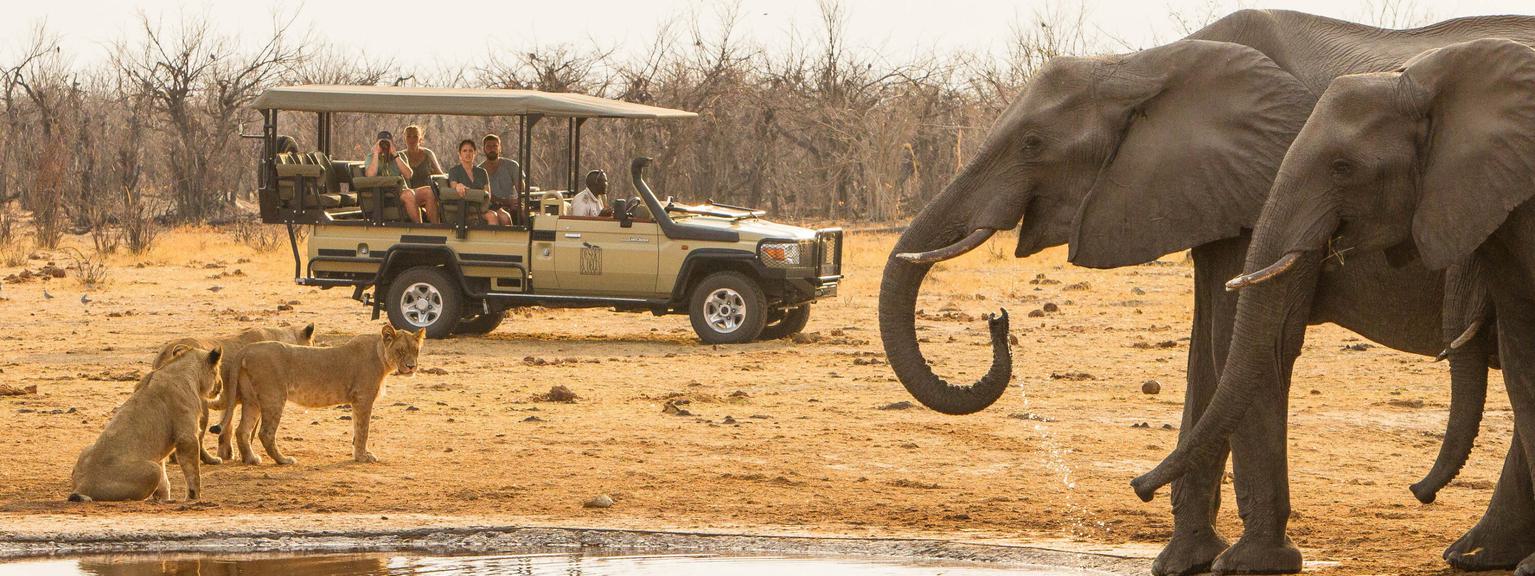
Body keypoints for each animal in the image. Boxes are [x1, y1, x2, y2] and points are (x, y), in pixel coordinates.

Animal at [70, 345, 223, 502]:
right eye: (217, 370)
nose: (220, 386)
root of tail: (82, 486)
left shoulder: (160, 452)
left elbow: (164, 482)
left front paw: (164, 499)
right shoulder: (187, 437)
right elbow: (193, 472)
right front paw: (194, 497)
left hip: (87, 448)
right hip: (152, 470)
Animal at [152, 323, 316, 464]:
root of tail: (166, 352)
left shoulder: (231, 402)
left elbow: (227, 428)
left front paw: (227, 454)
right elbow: (249, 432)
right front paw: (246, 456)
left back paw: (175, 458)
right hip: (201, 406)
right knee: (198, 437)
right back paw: (211, 460)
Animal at [224, 324, 424, 465]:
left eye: (416, 350)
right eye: (400, 351)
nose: (411, 366)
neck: (381, 355)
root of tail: (247, 349)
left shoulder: (356, 401)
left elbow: (356, 428)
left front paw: (358, 454)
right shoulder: (363, 398)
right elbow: (363, 430)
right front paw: (362, 457)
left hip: (252, 400)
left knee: (242, 430)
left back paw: (251, 459)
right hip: (274, 396)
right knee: (265, 433)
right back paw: (284, 460)